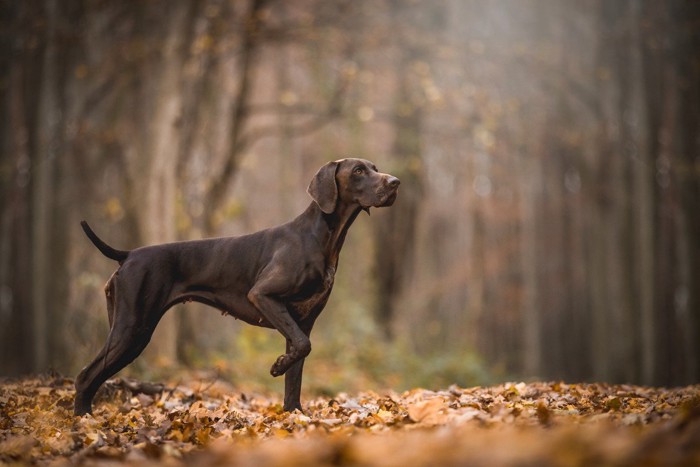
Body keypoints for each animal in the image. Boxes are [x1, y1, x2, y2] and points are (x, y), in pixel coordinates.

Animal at [74, 160, 400, 416]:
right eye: (358, 170)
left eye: (375, 168)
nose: (395, 182)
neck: (322, 236)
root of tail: (128, 254)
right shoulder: (263, 295)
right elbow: (302, 348)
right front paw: (277, 367)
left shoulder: (303, 321)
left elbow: (296, 372)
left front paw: (293, 414)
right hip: (132, 328)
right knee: (85, 375)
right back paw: (83, 421)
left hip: (126, 329)